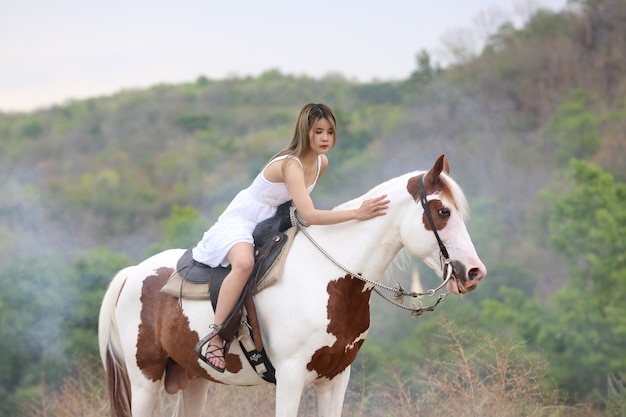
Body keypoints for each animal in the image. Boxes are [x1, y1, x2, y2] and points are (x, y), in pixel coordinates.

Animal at [98, 155, 488, 416]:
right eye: (442, 212)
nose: (473, 272)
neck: (328, 279)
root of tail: (132, 274)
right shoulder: (289, 378)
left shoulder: (335, 378)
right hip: (145, 381)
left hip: (192, 379)